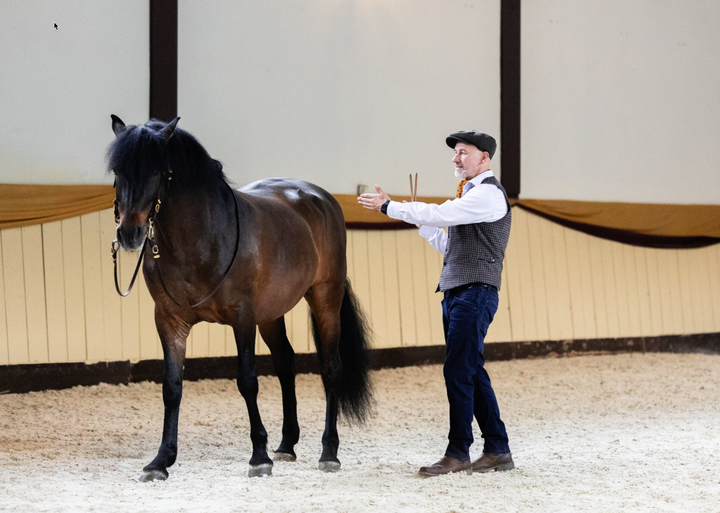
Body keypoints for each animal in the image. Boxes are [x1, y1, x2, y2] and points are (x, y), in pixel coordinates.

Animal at [109, 115, 374, 480]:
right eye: (117, 171)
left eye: (157, 170)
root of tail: (322, 199)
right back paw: (287, 444)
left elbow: (247, 381)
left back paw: (329, 452)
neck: (202, 239)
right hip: (272, 313)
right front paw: (161, 460)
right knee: (286, 363)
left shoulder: (242, 317)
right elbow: (172, 387)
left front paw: (259, 456)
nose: (129, 234)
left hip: (325, 297)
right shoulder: (168, 321)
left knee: (331, 368)